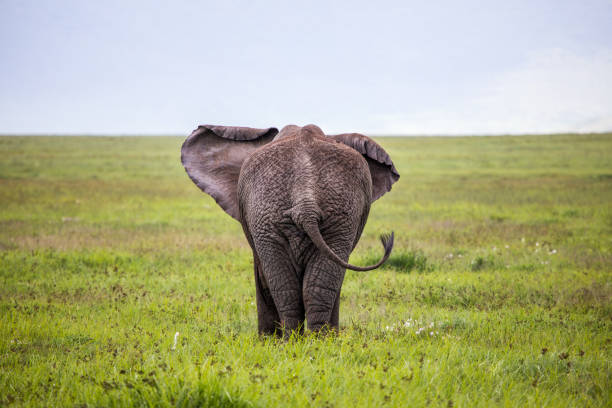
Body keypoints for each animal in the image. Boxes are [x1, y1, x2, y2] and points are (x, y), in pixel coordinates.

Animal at [180, 122, 402, 334]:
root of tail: (305, 197)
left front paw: (266, 341)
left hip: (275, 216)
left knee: (286, 289)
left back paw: (293, 341)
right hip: (333, 218)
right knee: (310, 288)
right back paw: (316, 342)